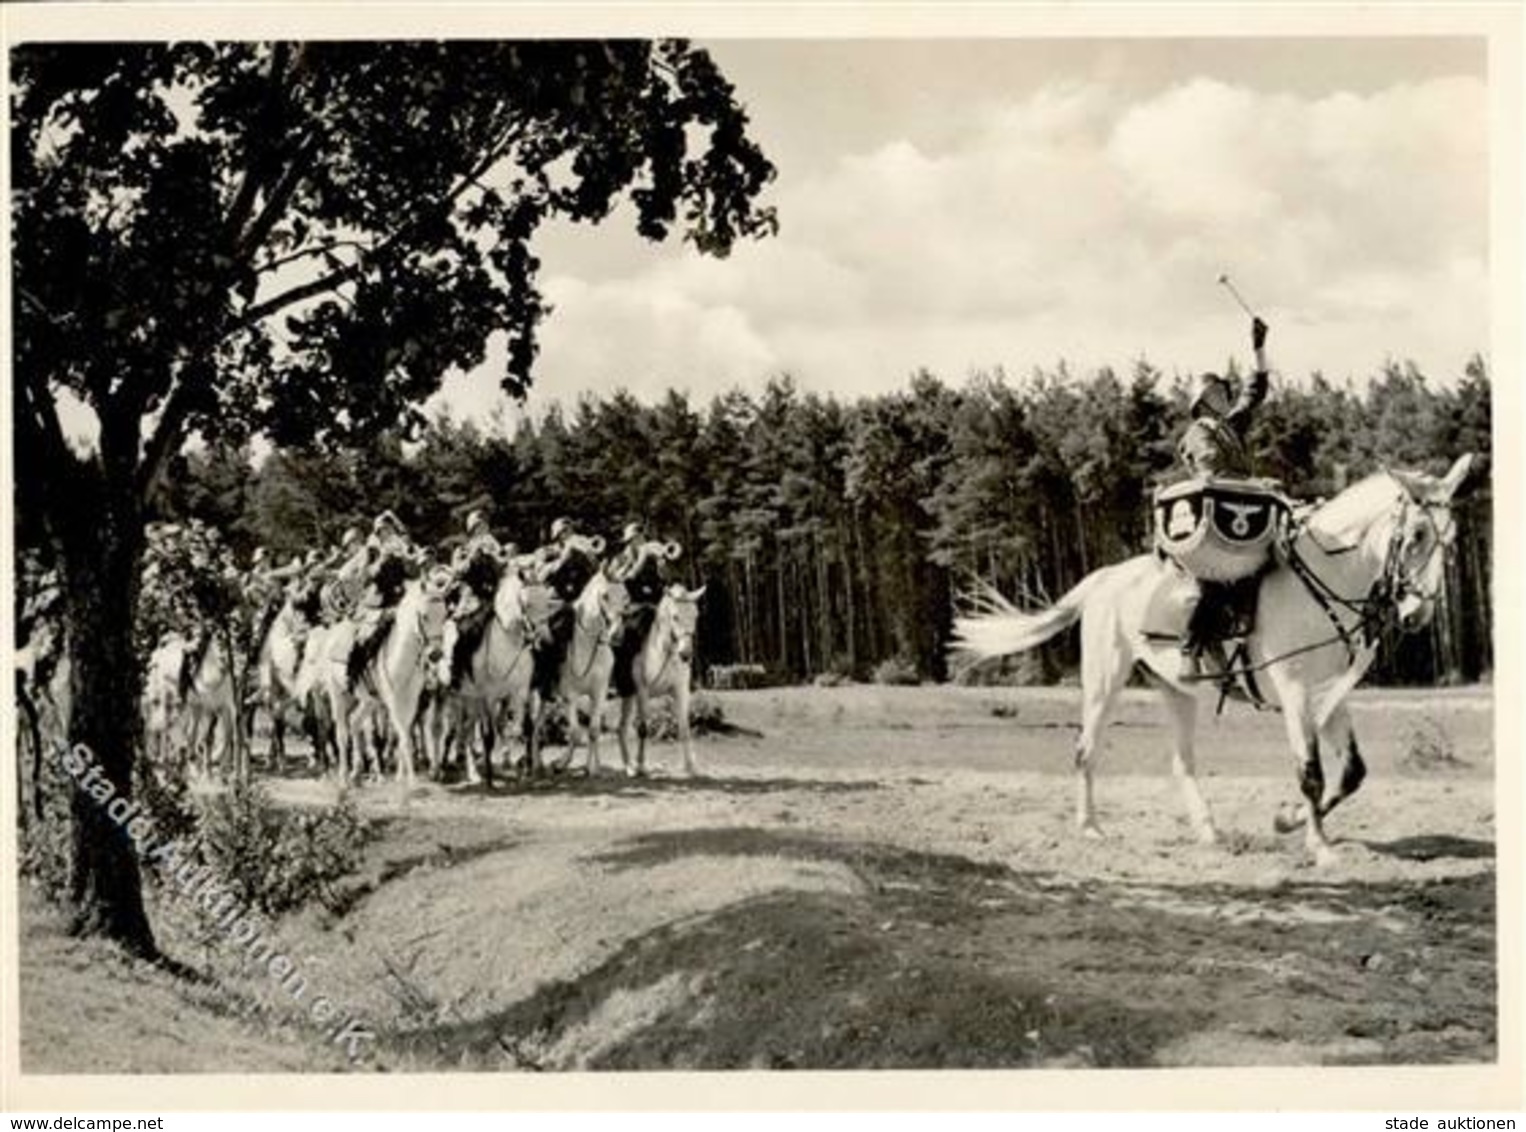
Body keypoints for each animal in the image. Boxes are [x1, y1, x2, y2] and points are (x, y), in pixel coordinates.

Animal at [312, 576, 445, 787]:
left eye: (444, 616)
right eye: (424, 616)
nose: (436, 654)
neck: (400, 656)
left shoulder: (411, 701)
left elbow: (403, 734)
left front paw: (401, 777)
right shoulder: (393, 701)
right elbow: (403, 737)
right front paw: (411, 781)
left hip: (368, 700)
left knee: (354, 722)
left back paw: (356, 773)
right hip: (337, 694)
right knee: (341, 733)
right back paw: (343, 778)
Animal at [531, 576, 631, 781]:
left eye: (626, 596)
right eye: (605, 595)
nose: (617, 634)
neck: (588, 645)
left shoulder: (599, 693)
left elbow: (593, 730)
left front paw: (592, 769)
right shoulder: (570, 696)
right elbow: (576, 733)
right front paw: (559, 765)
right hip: (538, 696)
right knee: (534, 727)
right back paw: (535, 764)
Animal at [610, 585, 705, 781]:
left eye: (696, 615)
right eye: (675, 616)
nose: (686, 654)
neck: (662, 650)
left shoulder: (680, 691)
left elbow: (685, 729)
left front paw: (691, 768)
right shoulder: (642, 691)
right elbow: (643, 728)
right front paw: (641, 766)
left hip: (628, 696)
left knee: (621, 728)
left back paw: (628, 767)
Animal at [952, 457, 1477, 866]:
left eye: (1450, 539)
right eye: (1415, 535)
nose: (1418, 615)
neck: (1326, 580)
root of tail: (1105, 577)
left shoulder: (1331, 694)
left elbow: (1351, 773)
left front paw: (1287, 820)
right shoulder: (1295, 693)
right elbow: (1311, 773)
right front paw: (1320, 846)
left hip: (1177, 691)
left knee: (1181, 762)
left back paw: (1207, 831)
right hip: (1104, 680)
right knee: (1086, 750)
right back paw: (1091, 828)